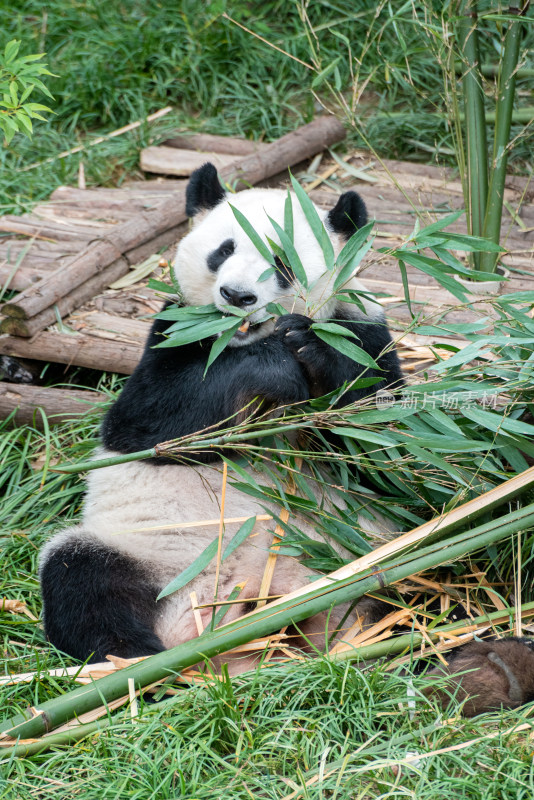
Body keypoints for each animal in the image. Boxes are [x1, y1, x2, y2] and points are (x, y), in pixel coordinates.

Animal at [39, 162, 534, 712]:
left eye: (282, 263)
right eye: (223, 250)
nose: (237, 297)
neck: (246, 339)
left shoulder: (364, 332)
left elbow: (391, 446)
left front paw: (313, 352)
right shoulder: (172, 334)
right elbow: (150, 423)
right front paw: (273, 365)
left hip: (381, 557)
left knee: (431, 594)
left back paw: (486, 665)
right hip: (151, 555)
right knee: (83, 584)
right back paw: (139, 669)